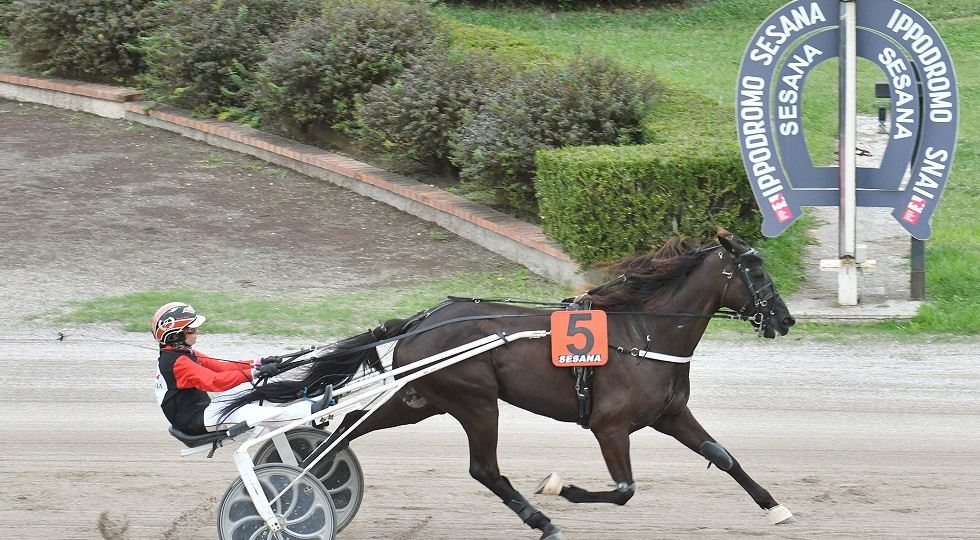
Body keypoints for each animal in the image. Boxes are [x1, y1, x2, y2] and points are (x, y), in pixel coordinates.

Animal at [224, 228, 796, 536]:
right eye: (756, 271)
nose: (785, 319)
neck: (643, 333)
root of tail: (420, 321)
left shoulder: (670, 414)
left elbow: (723, 456)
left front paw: (778, 509)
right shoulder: (609, 426)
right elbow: (625, 489)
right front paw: (561, 487)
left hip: (417, 397)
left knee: (345, 432)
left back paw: (304, 482)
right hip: (476, 401)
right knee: (483, 469)